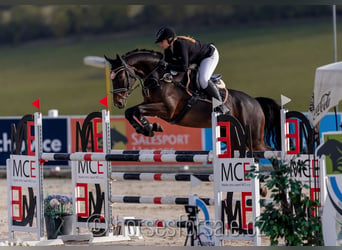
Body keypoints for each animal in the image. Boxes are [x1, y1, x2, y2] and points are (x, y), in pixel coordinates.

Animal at [103, 48, 280, 150]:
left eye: (120, 77)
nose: (118, 102)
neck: (160, 77)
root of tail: (255, 102)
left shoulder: (168, 110)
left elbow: (137, 110)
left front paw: (149, 127)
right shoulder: (151, 105)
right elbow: (131, 111)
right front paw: (148, 128)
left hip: (254, 138)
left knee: (269, 153)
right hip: (234, 136)